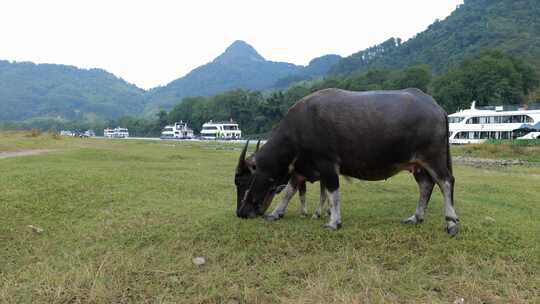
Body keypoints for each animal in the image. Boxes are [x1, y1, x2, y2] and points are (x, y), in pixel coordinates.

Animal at [234, 87, 458, 235]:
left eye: (242, 181)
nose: (241, 212)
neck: (297, 131)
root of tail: (436, 106)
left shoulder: (328, 164)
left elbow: (333, 193)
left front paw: (334, 222)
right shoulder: (300, 169)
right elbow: (289, 192)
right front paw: (276, 213)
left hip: (434, 158)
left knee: (445, 182)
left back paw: (451, 223)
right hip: (418, 165)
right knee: (426, 185)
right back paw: (416, 217)